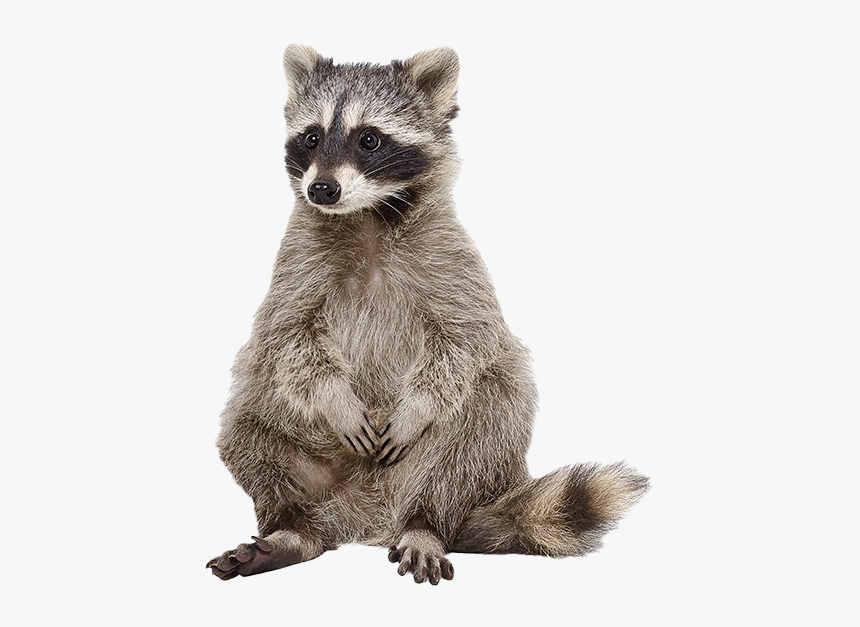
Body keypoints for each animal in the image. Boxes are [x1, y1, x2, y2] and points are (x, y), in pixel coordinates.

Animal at [207, 45, 649, 585]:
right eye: (311, 137)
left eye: (369, 139)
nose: (322, 189)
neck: (367, 216)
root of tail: (370, 515)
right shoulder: (297, 260)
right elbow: (286, 336)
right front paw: (335, 398)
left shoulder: (449, 255)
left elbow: (467, 339)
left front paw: (418, 408)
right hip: (295, 439)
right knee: (247, 421)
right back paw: (292, 528)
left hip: (466, 464)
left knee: (490, 407)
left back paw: (425, 523)